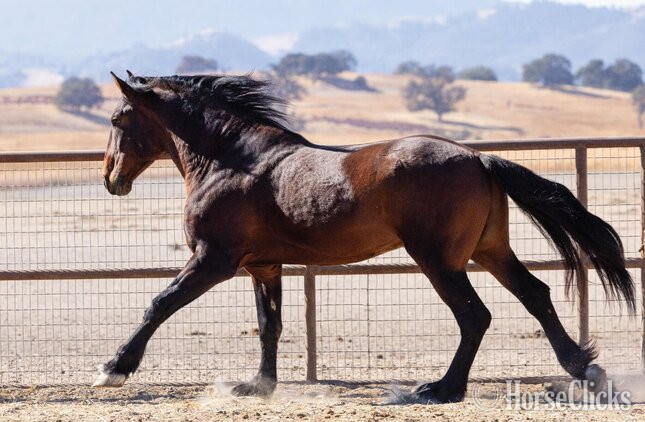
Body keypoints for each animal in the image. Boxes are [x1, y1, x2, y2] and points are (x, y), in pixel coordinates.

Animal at [95, 71, 635, 403]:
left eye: (117, 119)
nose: (109, 179)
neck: (232, 160)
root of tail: (479, 158)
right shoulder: (263, 266)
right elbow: (270, 325)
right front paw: (258, 386)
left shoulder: (214, 260)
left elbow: (159, 304)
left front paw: (113, 369)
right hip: (489, 251)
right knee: (534, 294)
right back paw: (585, 369)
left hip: (439, 259)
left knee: (474, 316)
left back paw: (440, 389)